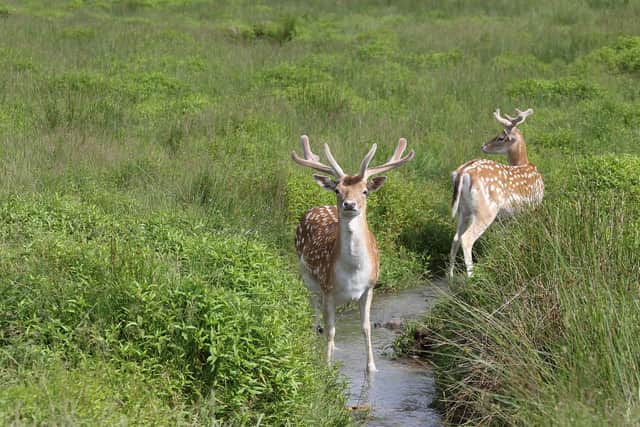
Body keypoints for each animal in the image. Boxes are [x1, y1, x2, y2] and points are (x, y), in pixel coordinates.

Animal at [291, 135, 414, 373]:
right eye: (338, 190)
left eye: (365, 190)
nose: (349, 204)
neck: (353, 273)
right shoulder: (328, 288)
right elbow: (330, 329)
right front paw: (327, 368)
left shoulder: (370, 287)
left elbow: (366, 327)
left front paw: (372, 368)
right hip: (308, 280)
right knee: (316, 316)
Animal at [448, 108, 544, 278]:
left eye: (500, 137)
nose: (483, 146)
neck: (524, 163)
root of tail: (462, 172)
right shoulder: (532, 208)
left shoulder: (507, 218)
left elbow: (505, 238)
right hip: (485, 210)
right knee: (467, 239)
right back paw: (471, 276)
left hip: (463, 210)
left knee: (455, 238)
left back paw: (450, 275)